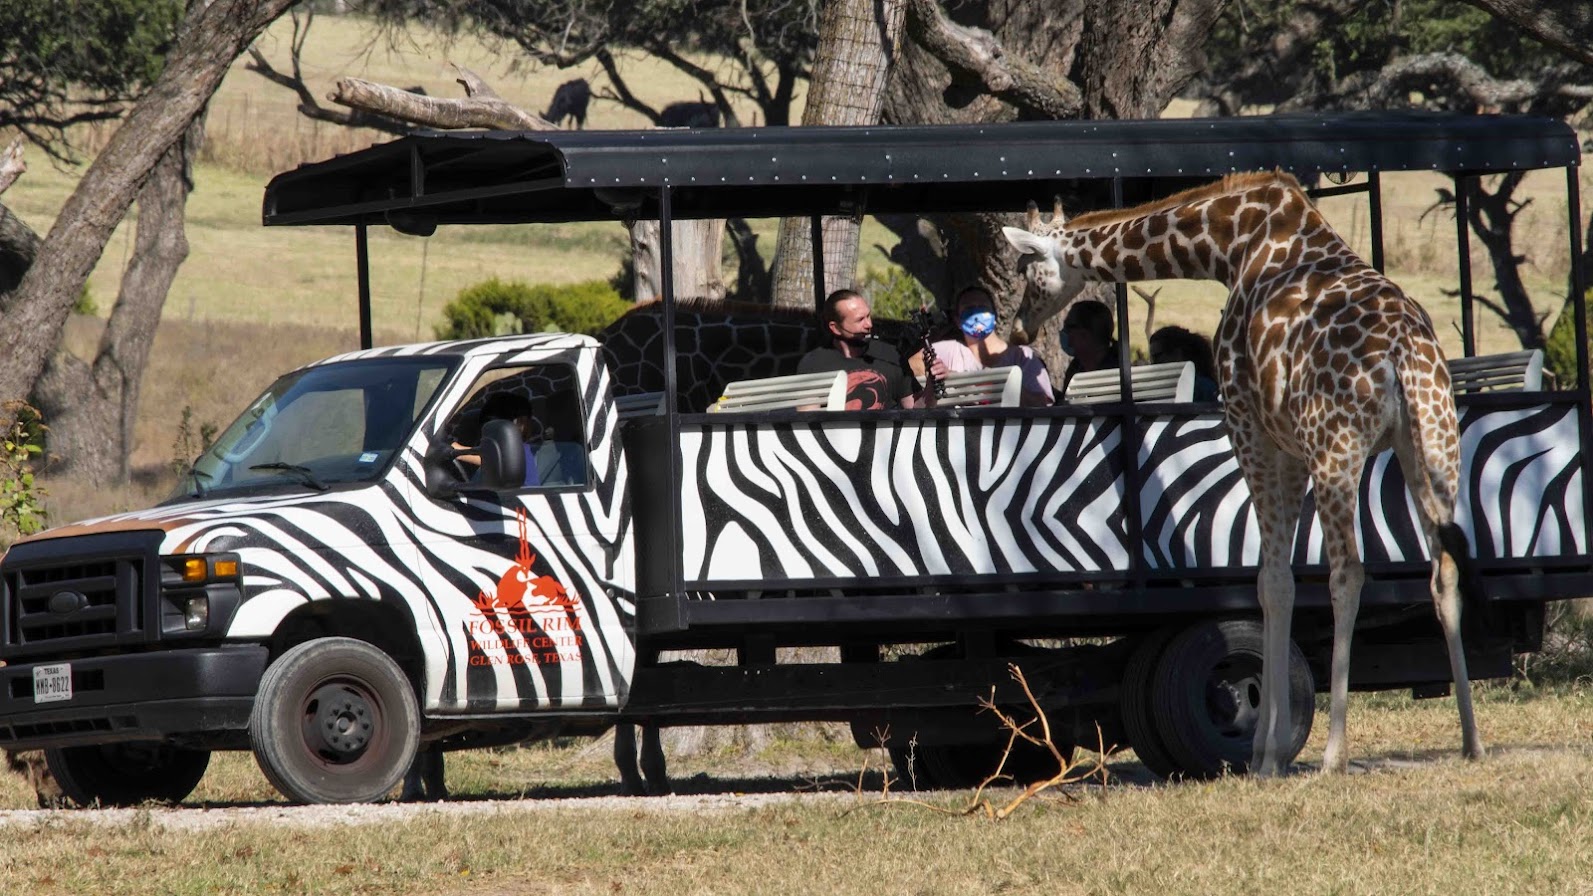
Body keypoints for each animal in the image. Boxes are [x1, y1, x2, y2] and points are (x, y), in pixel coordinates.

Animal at [1000, 170, 1484, 771]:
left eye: (1027, 268)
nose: (1018, 330)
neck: (1231, 244)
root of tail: (1402, 355)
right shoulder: (1289, 447)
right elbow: (1279, 581)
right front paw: (1265, 746)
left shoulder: (1250, 428)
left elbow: (1270, 581)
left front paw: (1265, 753)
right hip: (1434, 447)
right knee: (1445, 569)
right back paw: (1470, 739)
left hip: (1338, 447)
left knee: (1348, 572)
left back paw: (1334, 753)